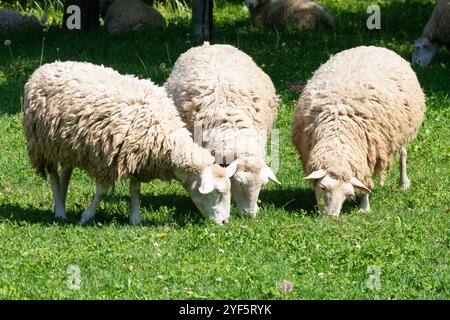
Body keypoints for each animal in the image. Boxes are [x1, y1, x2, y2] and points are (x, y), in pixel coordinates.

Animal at [22, 60, 237, 225]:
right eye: (218, 193)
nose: (225, 222)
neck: (168, 140)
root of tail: (46, 67)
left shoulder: (138, 157)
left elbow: (135, 189)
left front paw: (134, 218)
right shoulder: (107, 160)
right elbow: (102, 191)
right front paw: (86, 216)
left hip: (66, 144)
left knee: (65, 173)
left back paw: (63, 202)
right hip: (42, 144)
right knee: (52, 175)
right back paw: (60, 210)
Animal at [292, 46, 426, 216]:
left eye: (347, 195)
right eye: (323, 188)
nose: (331, 217)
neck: (338, 136)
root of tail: (373, 46)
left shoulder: (369, 154)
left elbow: (365, 182)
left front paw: (364, 207)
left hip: (401, 130)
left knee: (403, 154)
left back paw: (404, 183)